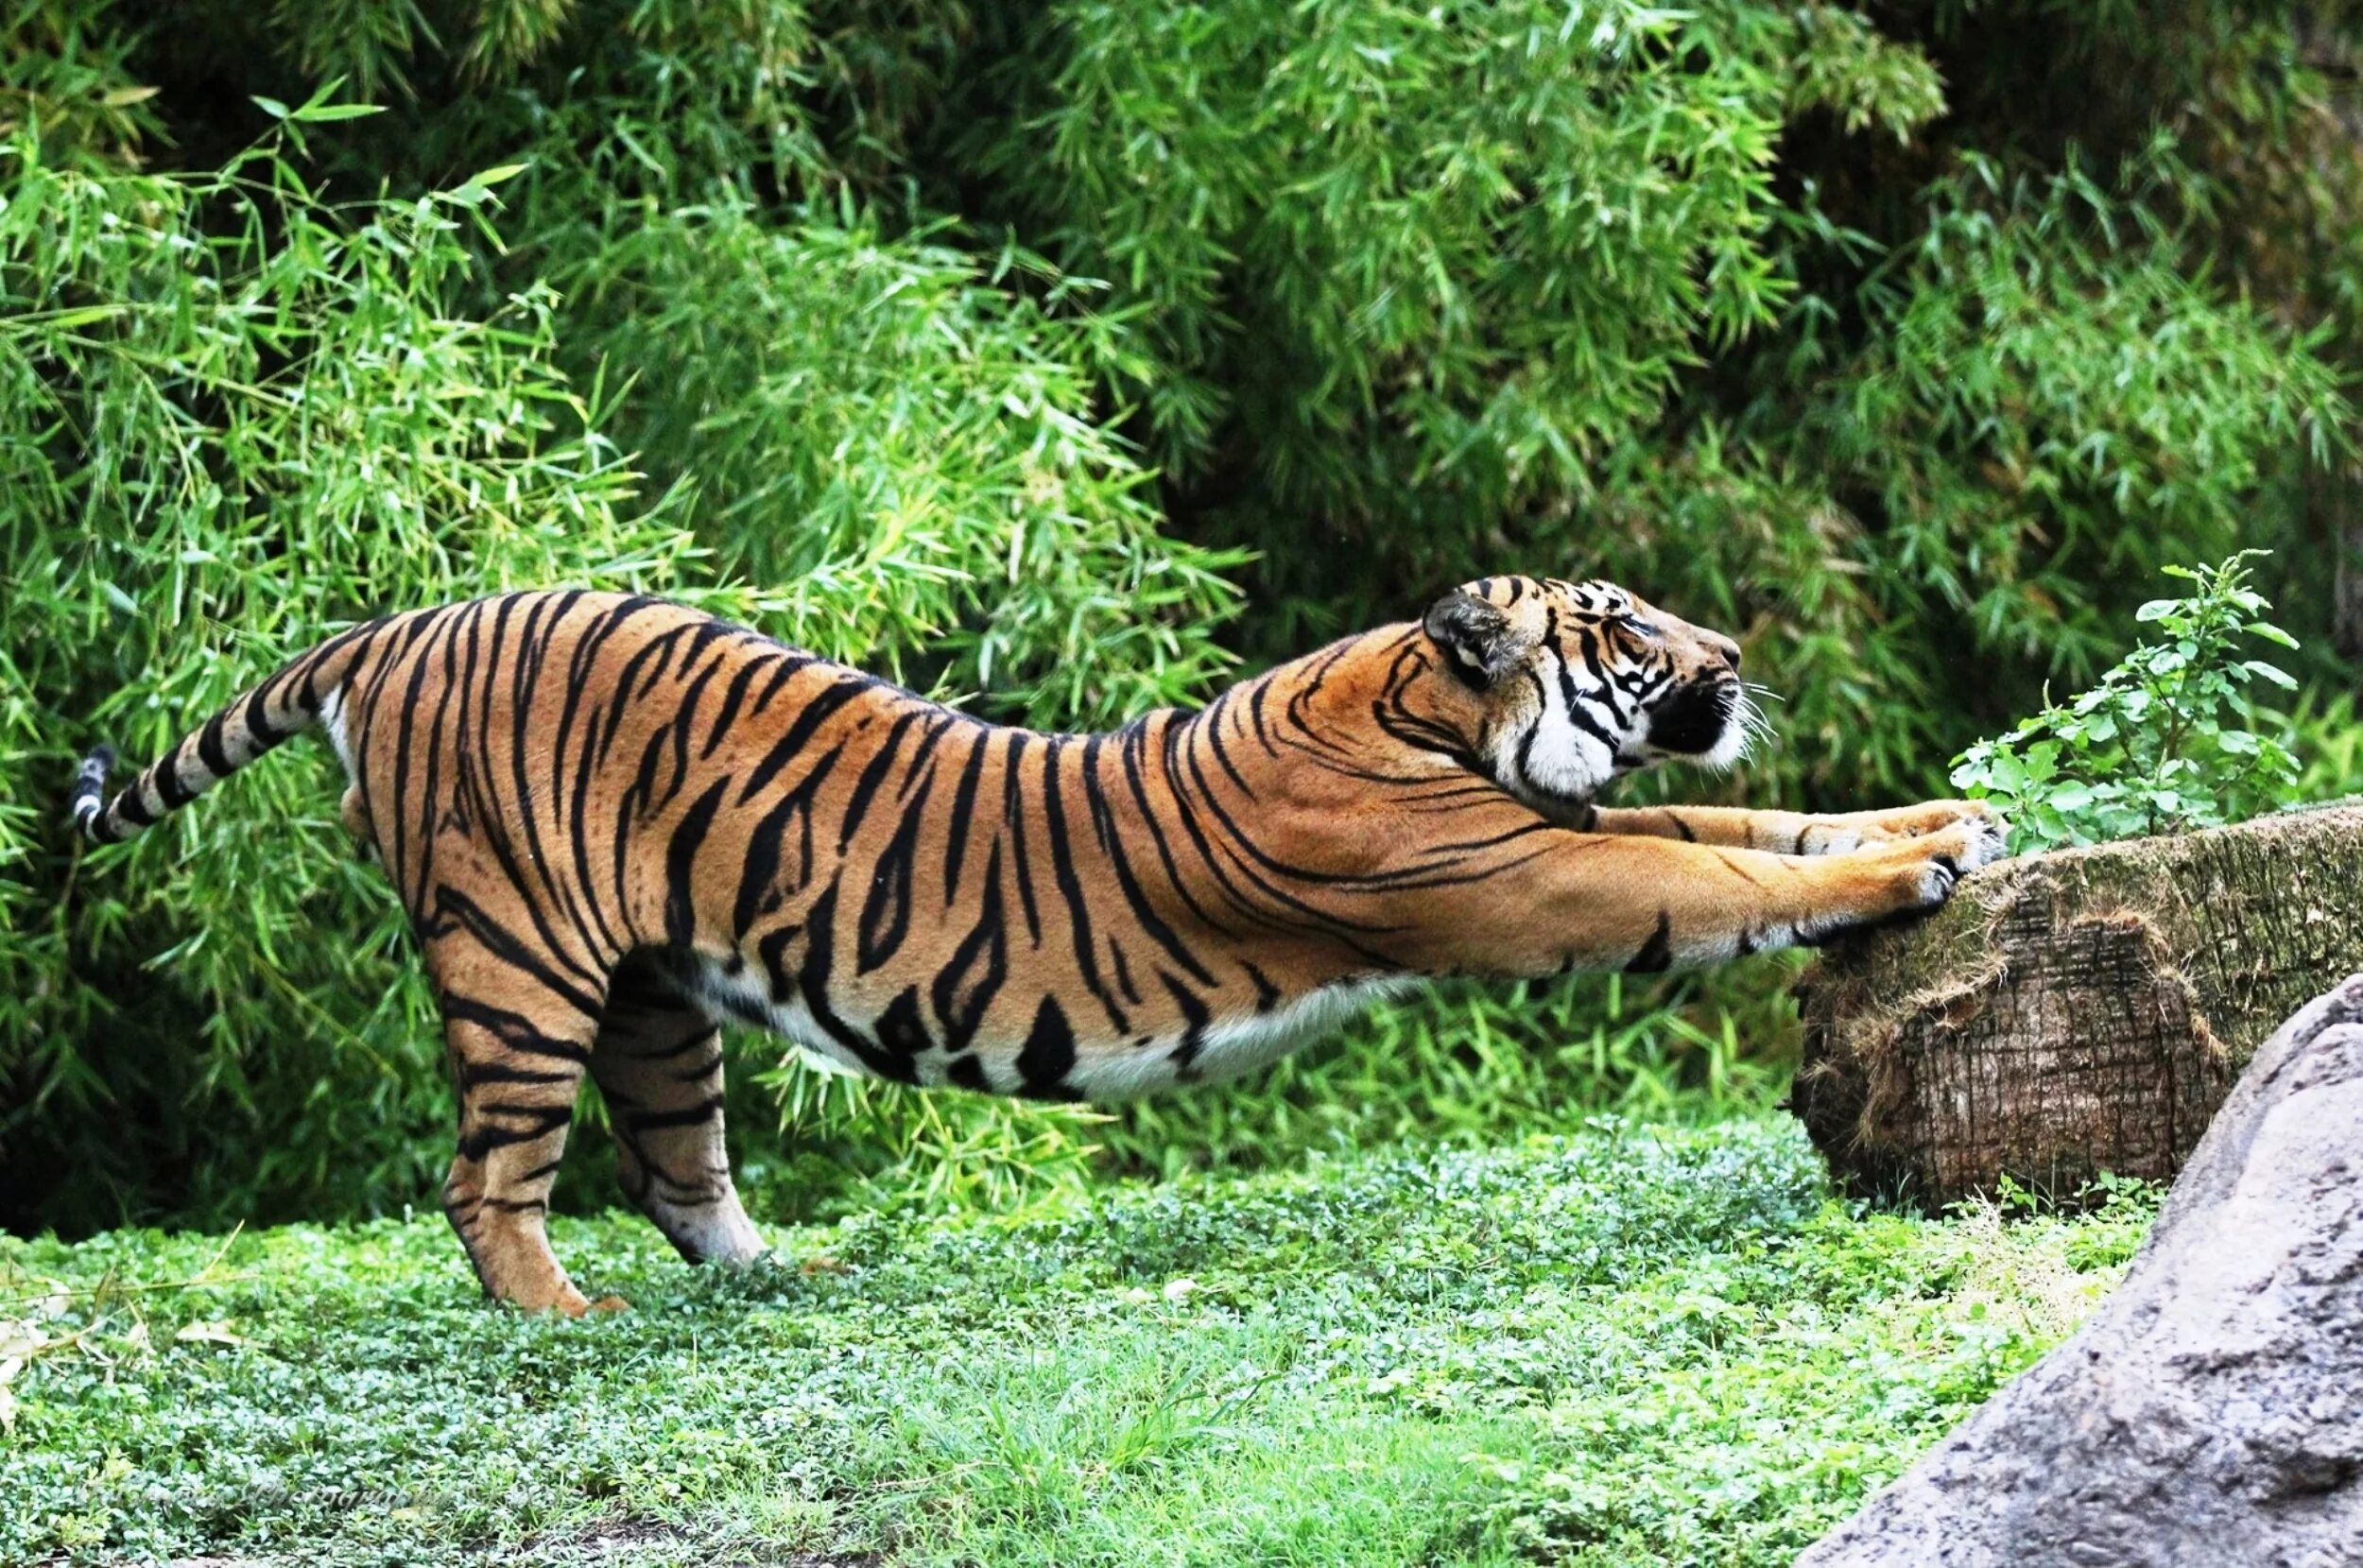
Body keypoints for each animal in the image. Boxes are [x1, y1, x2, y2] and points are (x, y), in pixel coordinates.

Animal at [69, 576, 1994, 1313]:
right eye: (1623, 627)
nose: (1733, 654)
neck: (1424, 710)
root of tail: (395, 624)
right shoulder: (1526, 874)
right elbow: (1715, 880)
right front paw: (1917, 866)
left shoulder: (1560, 830)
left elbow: (1757, 828)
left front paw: (1943, 818)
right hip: (521, 960)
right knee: (490, 1176)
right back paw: (561, 1309)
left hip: (657, 992)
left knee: (678, 1163)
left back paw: (782, 1274)